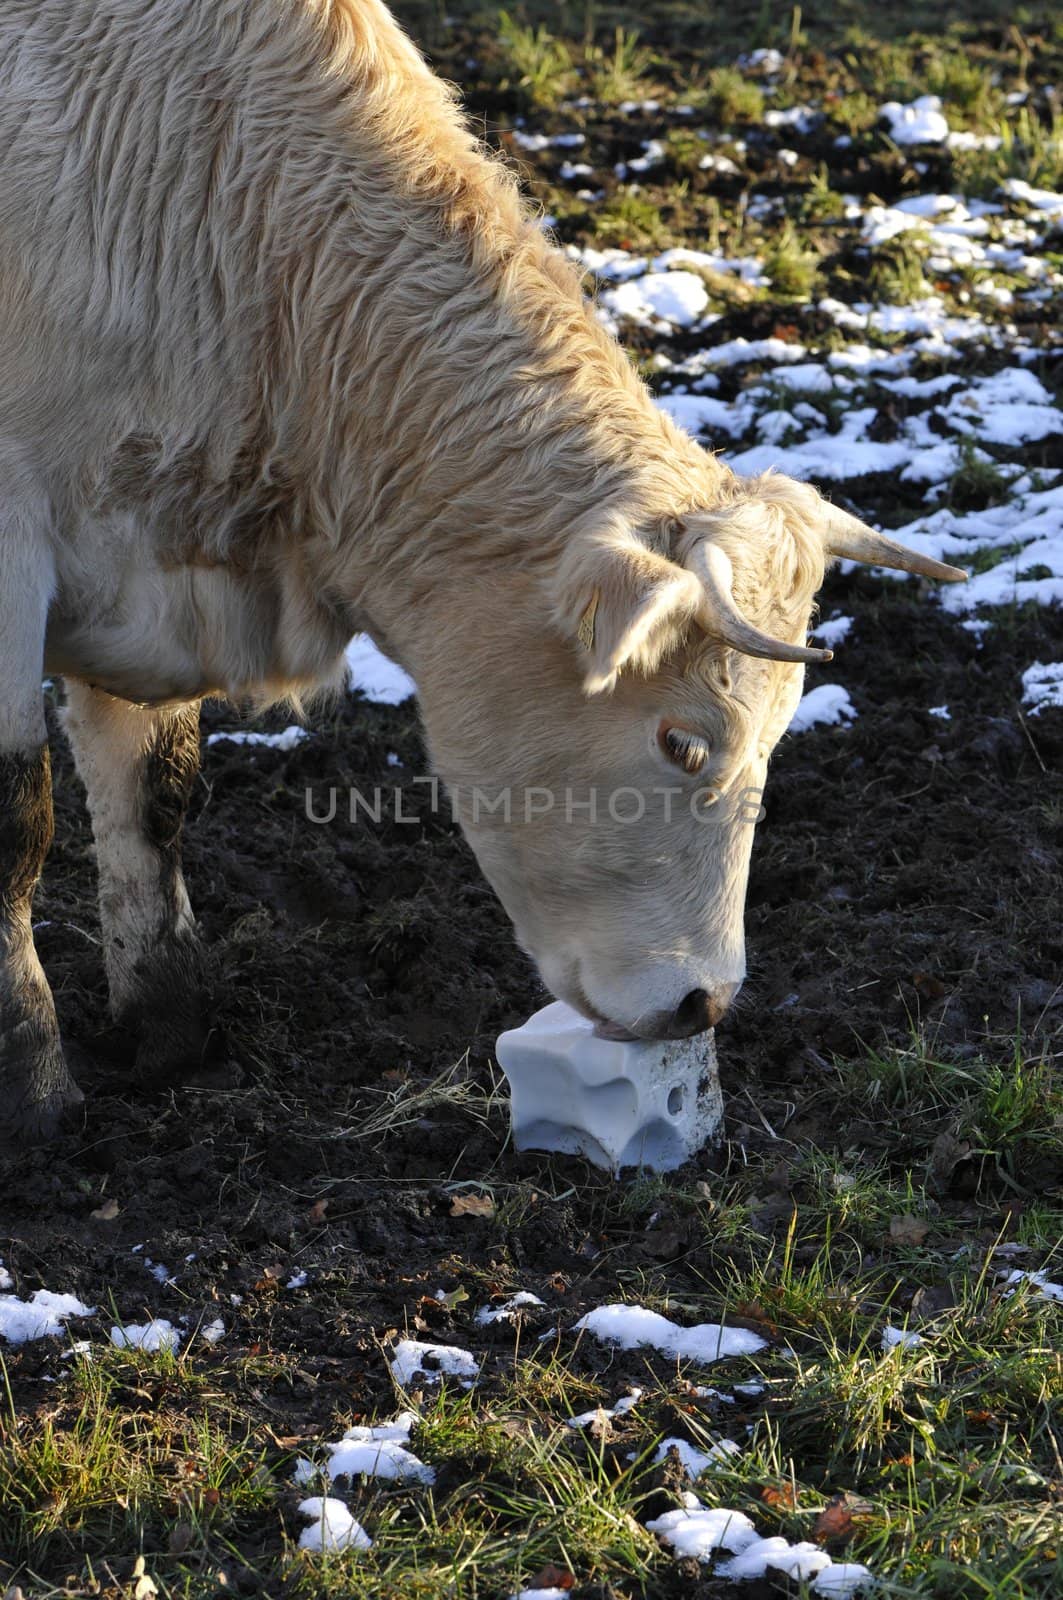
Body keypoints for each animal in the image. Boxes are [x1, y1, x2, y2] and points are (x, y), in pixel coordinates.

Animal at [0, 0, 960, 1139]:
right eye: (683, 742)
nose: (705, 1000)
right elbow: (17, 818)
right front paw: (33, 1089)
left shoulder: (145, 551)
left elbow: (154, 793)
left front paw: (169, 1033)